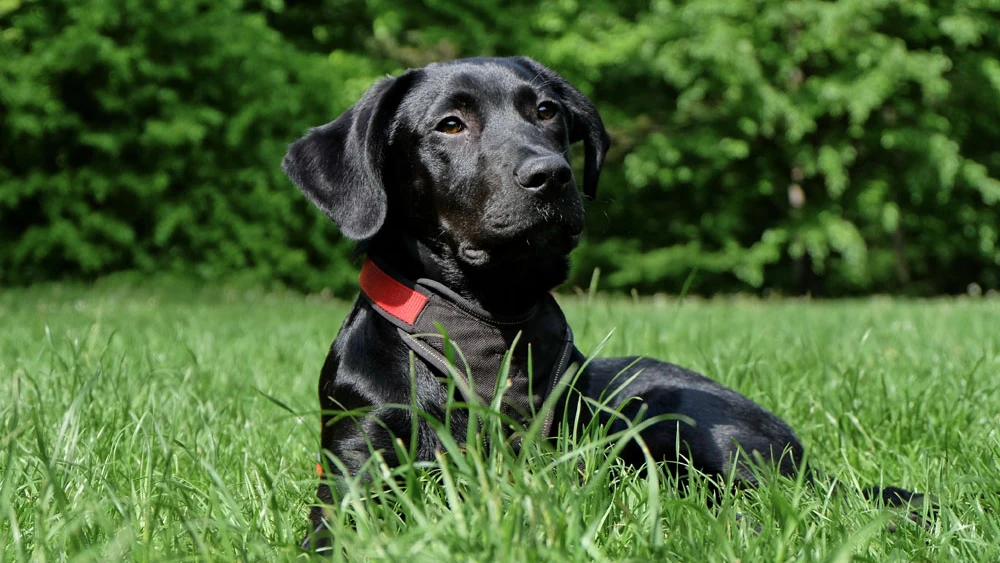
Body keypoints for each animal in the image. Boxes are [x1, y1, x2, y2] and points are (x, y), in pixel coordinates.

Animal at [284, 56, 900, 548]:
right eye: (450, 124)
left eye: (547, 112)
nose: (551, 176)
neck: (482, 326)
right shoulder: (356, 462)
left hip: (676, 417)